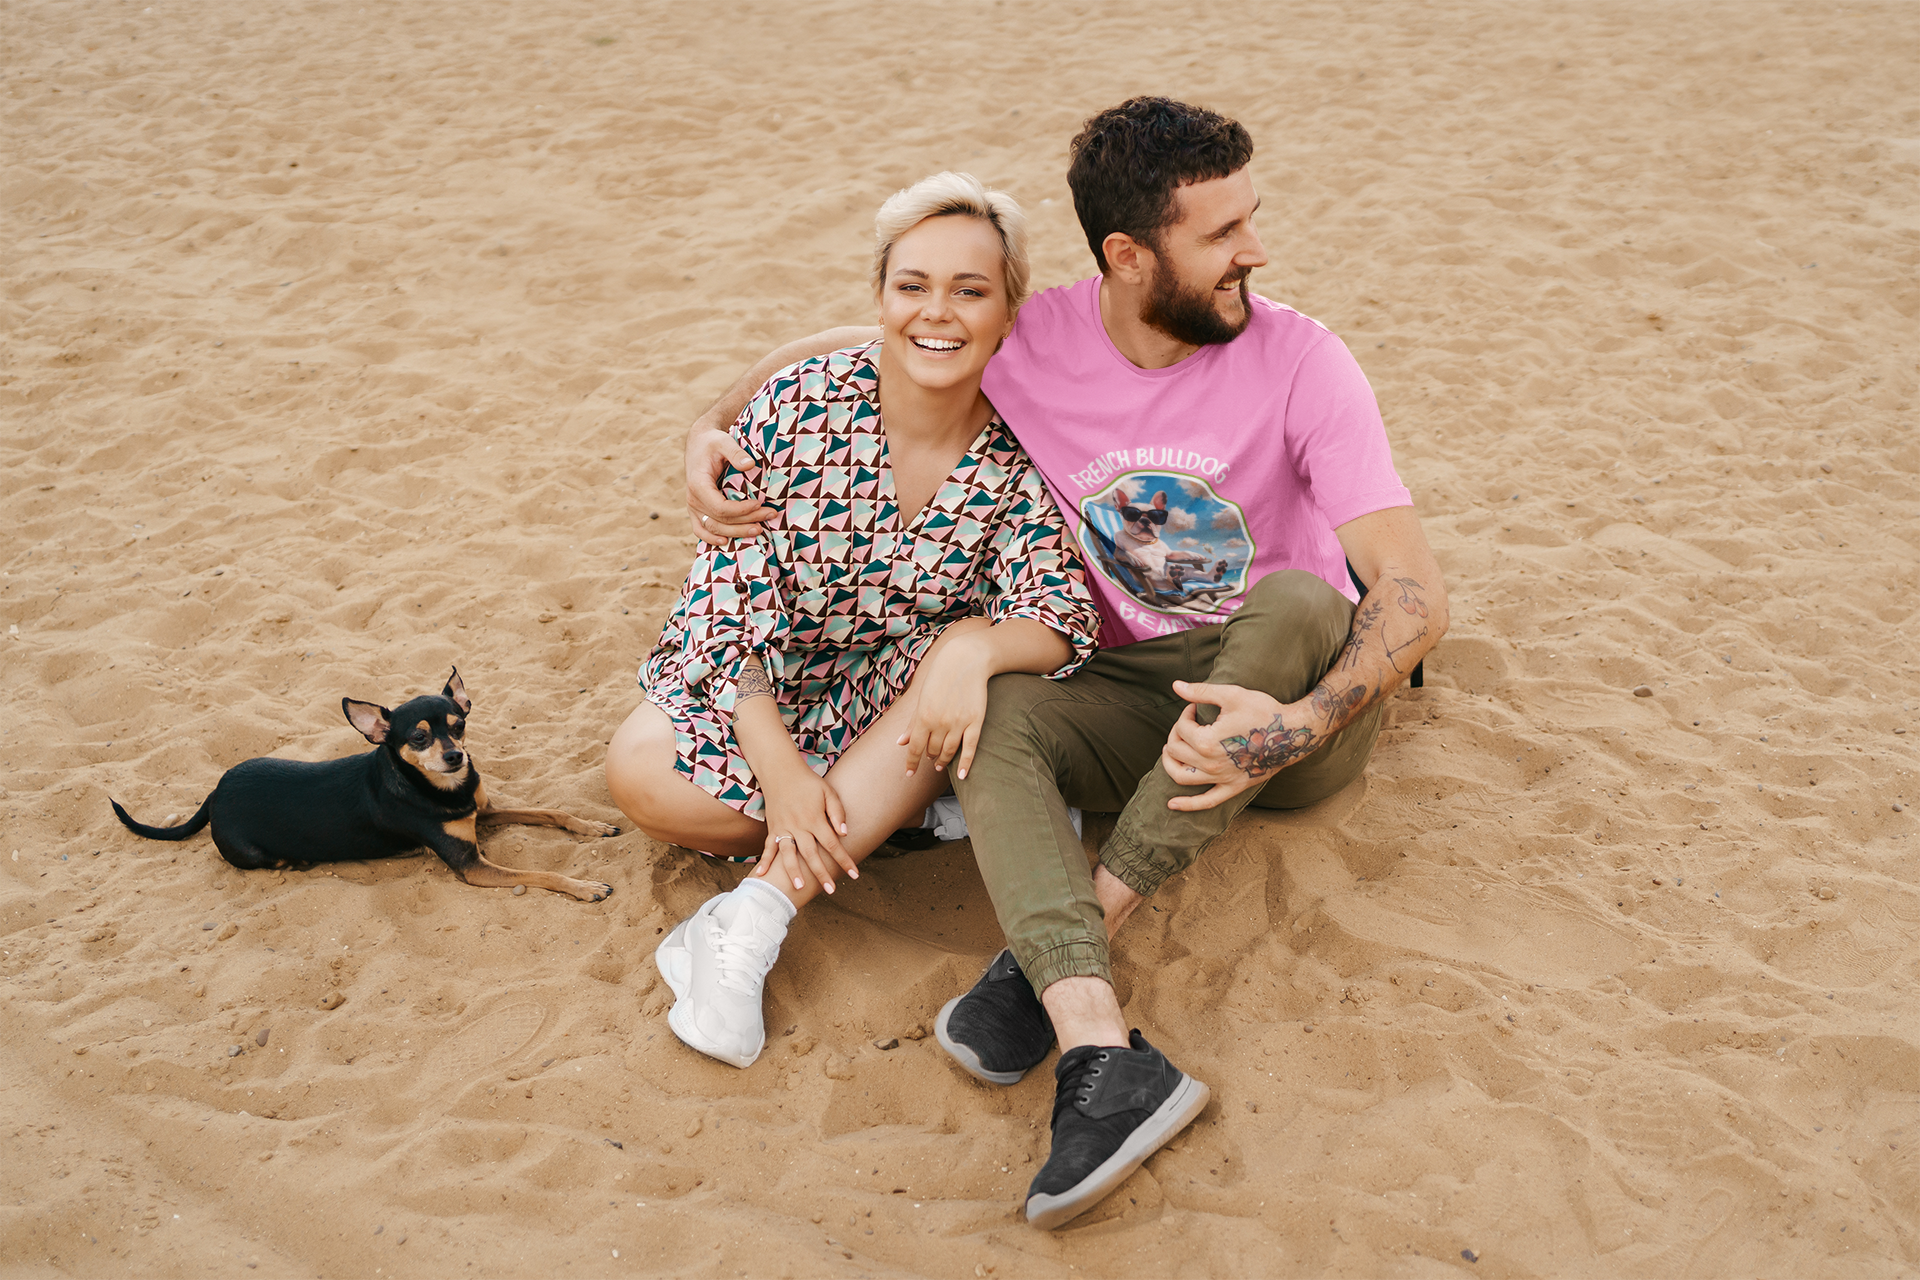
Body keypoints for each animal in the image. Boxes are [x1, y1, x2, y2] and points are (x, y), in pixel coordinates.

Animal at [110, 671, 614, 901]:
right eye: (419, 738)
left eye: (459, 725)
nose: (456, 757)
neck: (438, 788)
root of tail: (215, 793)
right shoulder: (471, 866)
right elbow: (541, 874)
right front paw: (584, 885)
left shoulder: (482, 811)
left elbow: (552, 811)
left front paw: (592, 826)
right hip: (253, 853)